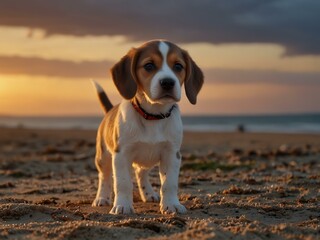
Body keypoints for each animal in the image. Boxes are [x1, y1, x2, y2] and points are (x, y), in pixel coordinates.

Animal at [91, 40, 204, 215]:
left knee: (141, 173)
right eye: (149, 65)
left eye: (178, 66)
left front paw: (171, 204)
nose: (167, 82)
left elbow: (169, 183)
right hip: (103, 156)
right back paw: (102, 198)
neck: (153, 115)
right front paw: (122, 205)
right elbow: (123, 183)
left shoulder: (172, 154)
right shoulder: (121, 154)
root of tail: (110, 110)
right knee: (105, 177)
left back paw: (148, 193)